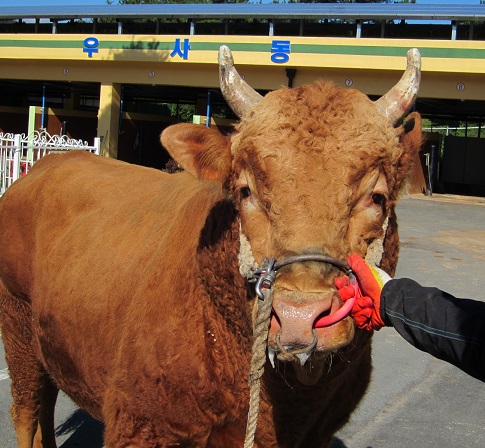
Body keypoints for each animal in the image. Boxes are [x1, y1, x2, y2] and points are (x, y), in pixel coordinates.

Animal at [0, 46, 420, 448]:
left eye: (378, 197)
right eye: (245, 191)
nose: (299, 317)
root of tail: (46, 166)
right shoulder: (140, 424)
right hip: (17, 326)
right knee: (26, 411)